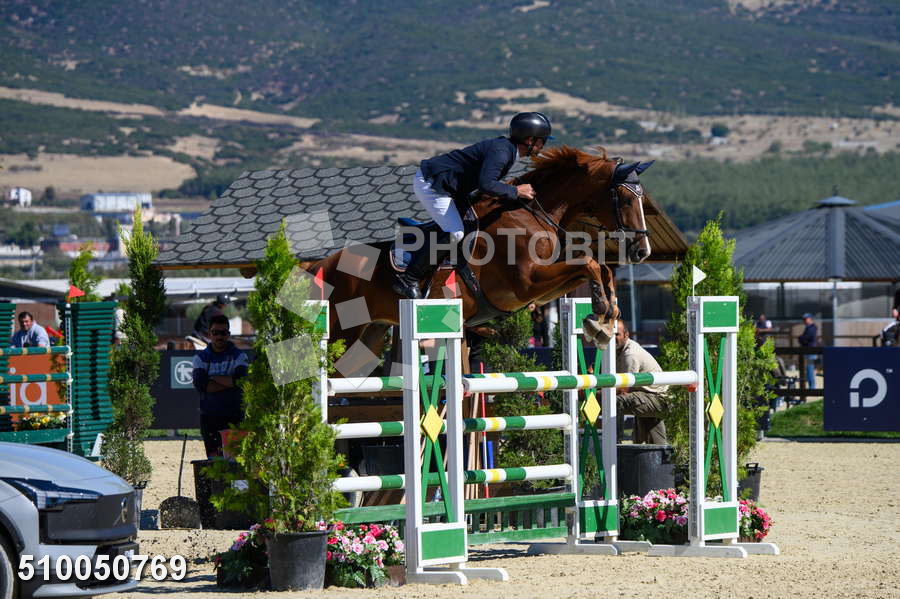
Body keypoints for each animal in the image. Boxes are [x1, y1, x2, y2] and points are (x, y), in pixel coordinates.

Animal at [304, 146, 653, 371]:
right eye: (625, 198)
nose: (642, 251)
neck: (530, 214)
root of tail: (320, 265)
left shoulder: (540, 291)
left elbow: (599, 266)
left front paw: (606, 317)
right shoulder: (527, 284)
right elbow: (589, 263)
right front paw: (600, 313)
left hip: (370, 335)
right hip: (340, 332)